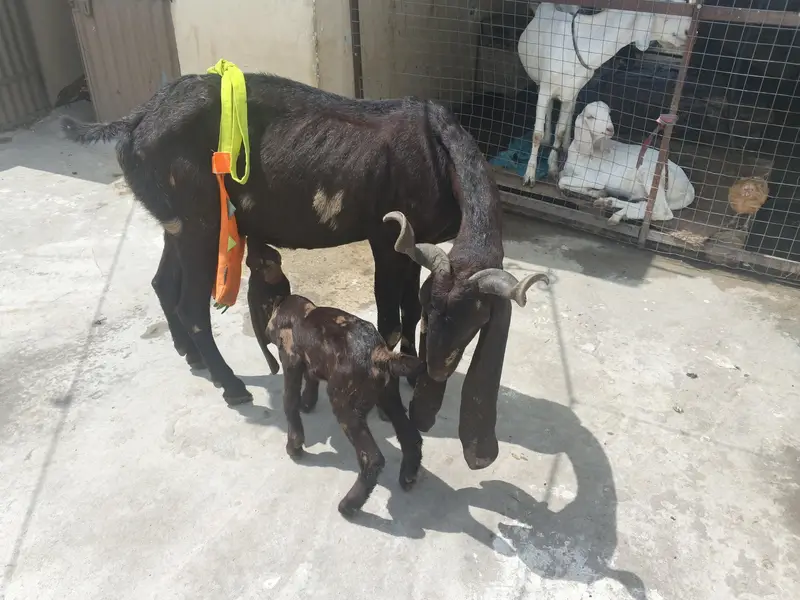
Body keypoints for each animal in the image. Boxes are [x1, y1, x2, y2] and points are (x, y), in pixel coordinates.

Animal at [61, 73, 546, 470]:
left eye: (475, 319)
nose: (438, 371)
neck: (438, 151)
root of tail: (138, 118)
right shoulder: (384, 237)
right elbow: (389, 317)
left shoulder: (413, 245)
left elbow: (407, 309)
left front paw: (409, 370)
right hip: (201, 220)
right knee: (191, 306)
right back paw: (230, 384)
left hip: (175, 222)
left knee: (163, 283)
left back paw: (190, 355)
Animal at [247, 241, 425, 517]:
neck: (288, 306)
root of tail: (379, 354)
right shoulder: (310, 362)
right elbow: (310, 380)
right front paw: (308, 403)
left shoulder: (290, 359)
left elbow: (289, 401)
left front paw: (294, 446)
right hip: (388, 397)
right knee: (411, 438)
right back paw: (407, 477)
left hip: (345, 405)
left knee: (372, 459)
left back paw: (349, 505)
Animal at [517, 1, 693, 185]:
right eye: (671, 10)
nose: (690, 31)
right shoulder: (546, 87)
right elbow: (536, 134)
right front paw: (529, 175)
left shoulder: (571, 93)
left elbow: (560, 131)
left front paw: (552, 168)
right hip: (539, 81)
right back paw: (546, 139)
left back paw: (564, 145)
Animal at [558, 101, 695, 223]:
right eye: (590, 117)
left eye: (609, 114)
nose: (610, 129)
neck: (583, 153)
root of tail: (690, 190)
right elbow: (561, 175)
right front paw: (596, 193)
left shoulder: (595, 178)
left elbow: (561, 180)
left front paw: (596, 191)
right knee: (647, 206)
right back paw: (608, 203)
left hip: (651, 173)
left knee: (662, 212)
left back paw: (619, 215)